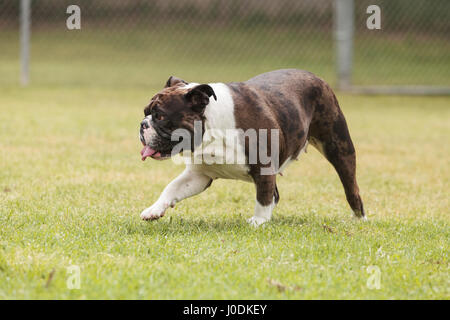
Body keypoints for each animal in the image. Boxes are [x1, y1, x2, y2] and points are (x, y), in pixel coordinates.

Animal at [140, 69, 366, 226]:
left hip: (339, 147)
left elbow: (263, 196)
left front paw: (259, 221)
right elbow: (172, 187)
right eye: (146, 112)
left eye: (160, 116)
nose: (143, 124)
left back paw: (360, 220)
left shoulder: (263, 167)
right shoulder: (199, 175)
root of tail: (315, 77)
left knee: (351, 188)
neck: (212, 128)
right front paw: (154, 209)